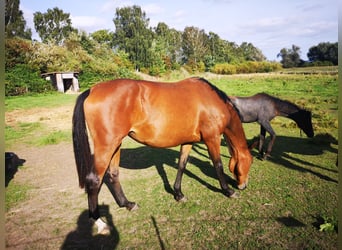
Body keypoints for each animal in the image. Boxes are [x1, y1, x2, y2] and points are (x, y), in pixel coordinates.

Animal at [73, 77, 254, 233]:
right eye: (249, 163)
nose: (243, 185)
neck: (211, 100)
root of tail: (92, 90)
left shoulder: (188, 141)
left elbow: (182, 165)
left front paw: (178, 194)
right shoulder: (212, 138)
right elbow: (218, 165)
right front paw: (229, 191)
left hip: (116, 145)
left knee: (113, 175)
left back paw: (128, 204)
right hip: (106, 146)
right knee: (94, 180)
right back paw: (100, 222)